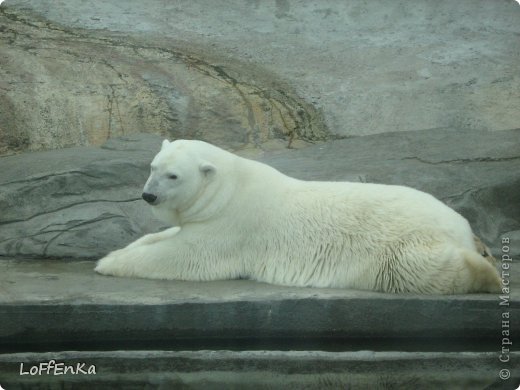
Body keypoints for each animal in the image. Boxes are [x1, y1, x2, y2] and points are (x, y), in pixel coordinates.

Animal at [95, 139, 502, 294]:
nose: (148, 194)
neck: (229, 189)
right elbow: (163, 237)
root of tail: (460, 225)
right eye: (152, 166)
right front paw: (123, 248)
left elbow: (185, 255)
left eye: (173, 176)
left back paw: (489, 270)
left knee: (420, 270)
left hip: (402, 243)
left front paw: (107, 262)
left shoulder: (233, 225)